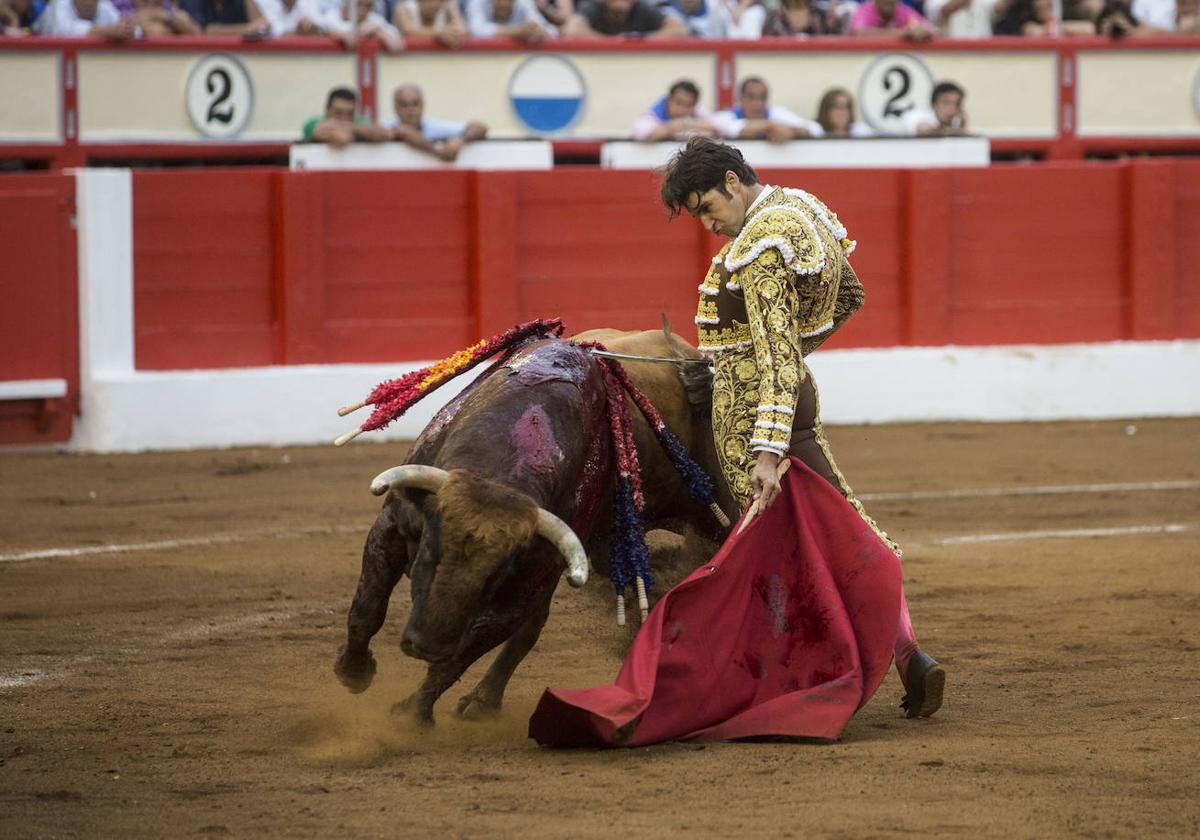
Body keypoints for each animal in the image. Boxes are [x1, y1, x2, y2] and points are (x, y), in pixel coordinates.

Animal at [333, 331, 734, 724]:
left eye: (494, 576)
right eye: (431, 550)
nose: (426, 645)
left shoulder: (525, 582)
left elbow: (464, 652)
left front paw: (411, 713)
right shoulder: (391, 525)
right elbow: (368, 607)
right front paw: (354, 671)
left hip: (714, 509)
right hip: (604, 546)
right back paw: (484, 699)